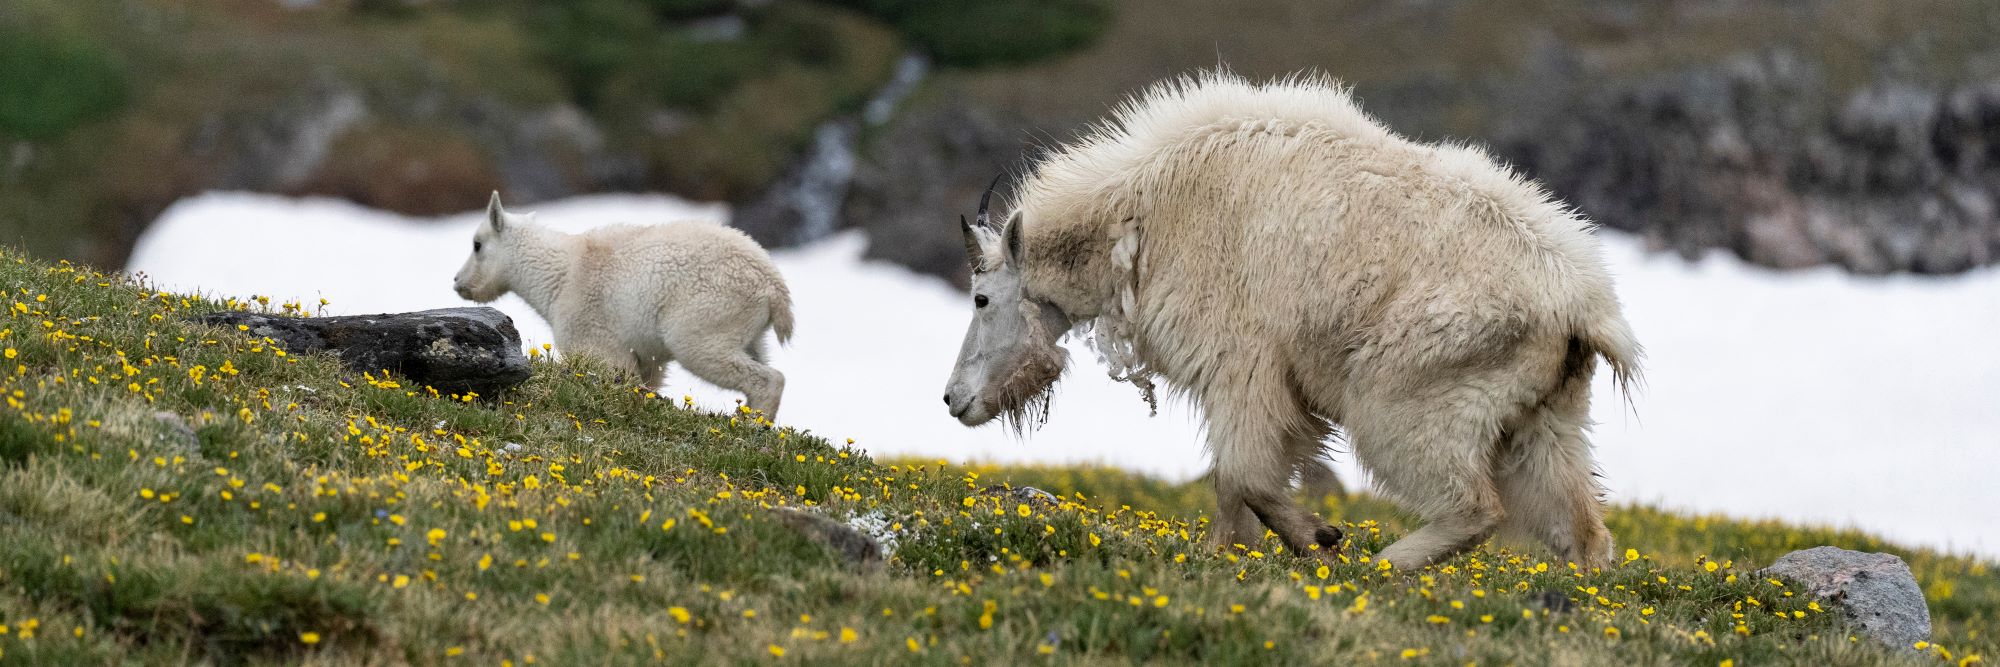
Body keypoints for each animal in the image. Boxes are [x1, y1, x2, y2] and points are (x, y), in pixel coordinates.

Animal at [944, 75, 1648, 571]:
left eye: (980, 298)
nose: (953, 399)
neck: (1138, 215)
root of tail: (1582, 306)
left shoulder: (1241, 363)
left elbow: (1246, 473)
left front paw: (1319, 537)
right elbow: (1236, 483)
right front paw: (1224, 553)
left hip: (1413, 397)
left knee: (1477, 506)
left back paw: (1385, 564)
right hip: (1542, 415)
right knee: (1581, 525)